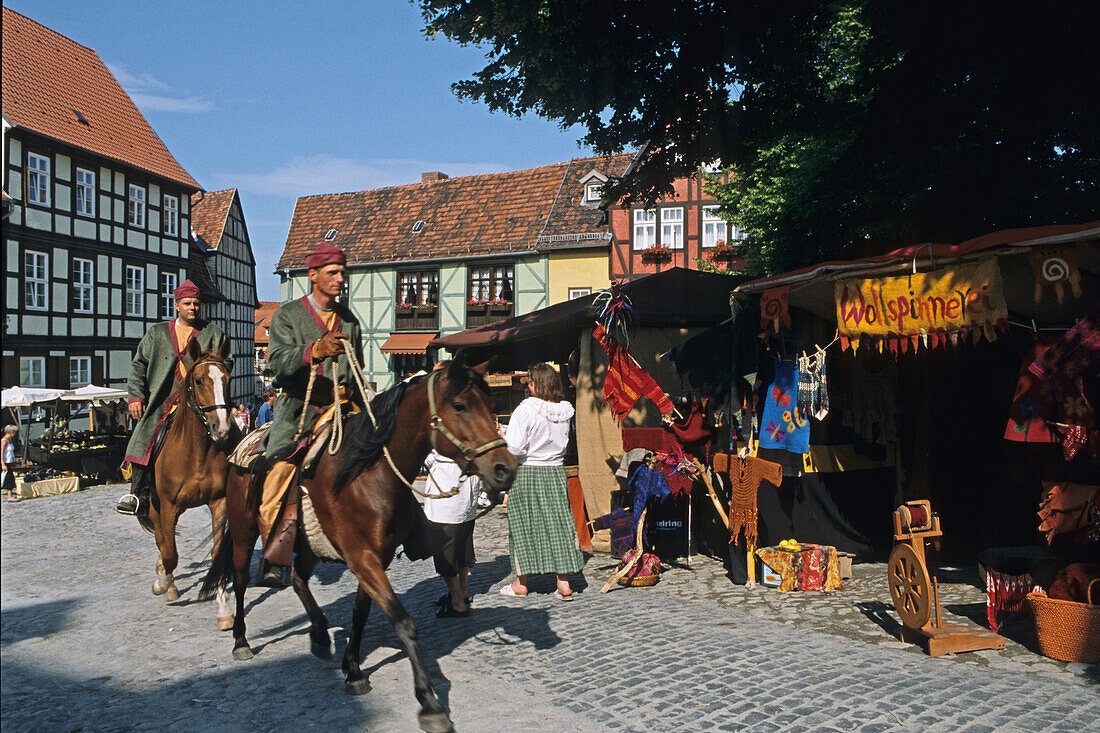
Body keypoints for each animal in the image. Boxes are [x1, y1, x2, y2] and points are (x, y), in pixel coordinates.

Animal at [137, 336, 236, 629]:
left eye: (227, 379)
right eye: (200, 381)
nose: (222, 429)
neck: (197, 452)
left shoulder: (218, 502)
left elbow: (216, 554)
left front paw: (224, 610)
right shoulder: (168, 506)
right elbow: (170, 553)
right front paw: (162, 584)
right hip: (156, 507)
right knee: (162, 541)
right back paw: (165, 581)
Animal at [201, 352, 514, 726]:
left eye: (490, 405)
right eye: (460, 405)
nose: (504, 469)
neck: (368, 473)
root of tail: (242, 445)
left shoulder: (376, 557)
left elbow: (360, 614)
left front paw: (352, 669)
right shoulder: (362, 558)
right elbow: (403, 623)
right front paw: (430, 703)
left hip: (305, 543)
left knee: (299, 580)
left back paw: (320, 634)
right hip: (244, 532)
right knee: (241, 579)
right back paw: (241, 640)